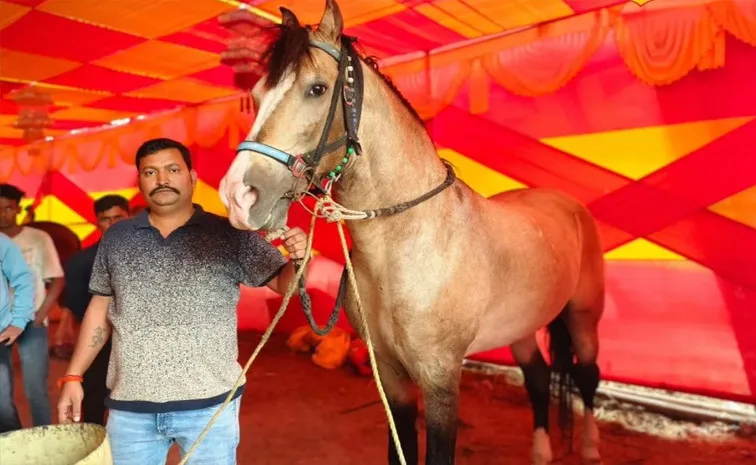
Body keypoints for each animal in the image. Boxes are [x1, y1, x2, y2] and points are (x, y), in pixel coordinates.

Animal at [217, 1, 604, 462]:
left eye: (317, 89)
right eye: (257, 96)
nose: (238, 195)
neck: (405, 248)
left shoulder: (440, 377)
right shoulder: (390, 373)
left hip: (584, 319)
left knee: (587, 375)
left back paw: (590, 447)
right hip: (522, 327)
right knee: (540, 377)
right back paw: (542, 451)